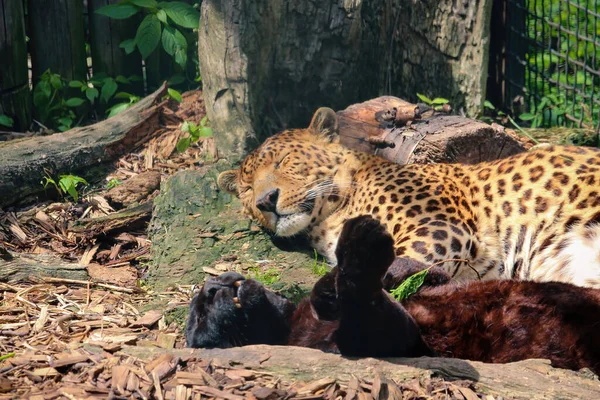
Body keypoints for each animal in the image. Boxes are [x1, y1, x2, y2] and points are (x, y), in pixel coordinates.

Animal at [218, 108, 600, 286]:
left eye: (284, 161)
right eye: (248, 190)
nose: (266, 201)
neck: (327, 221)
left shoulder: (438, 227)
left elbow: (395, 266)